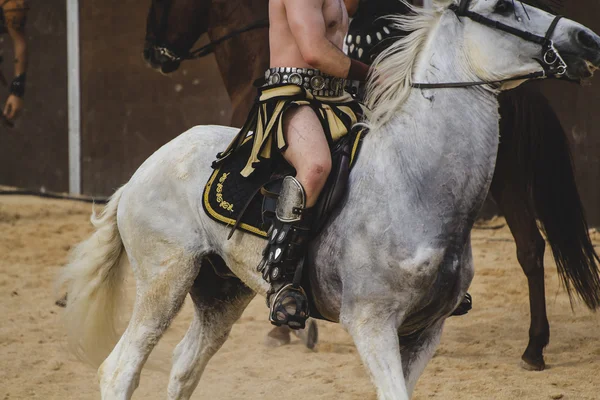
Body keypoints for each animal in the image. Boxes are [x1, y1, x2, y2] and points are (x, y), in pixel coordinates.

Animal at [57, 1, 600, 398]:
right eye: (503, 5)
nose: (586, 39)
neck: (414, 181)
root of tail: (140, 173)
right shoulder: (371, 323)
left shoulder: (426, 332)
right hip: (164, 280)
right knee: (120, 368)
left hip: (221, 292)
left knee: (184, 365)